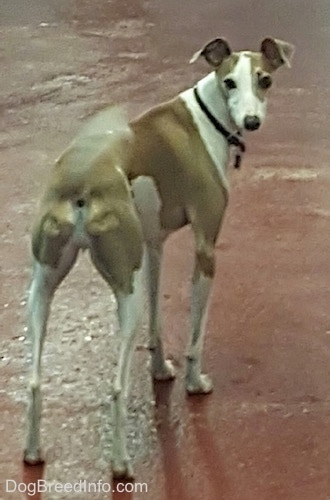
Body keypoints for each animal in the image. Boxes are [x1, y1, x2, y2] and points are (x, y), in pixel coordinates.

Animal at [24, 38, 296, 476]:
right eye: (230, 82)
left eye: (265, 79)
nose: (252, 121)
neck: (208, 116)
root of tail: (81, 183)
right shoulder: (206, 248)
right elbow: (196, 336)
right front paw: (193, 382)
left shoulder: (153, 248)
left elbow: (157, 323)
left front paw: (161, 371)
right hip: (123, 297)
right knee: (117, 388)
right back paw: (120, 463)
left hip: (45, 288)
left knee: (33, 380)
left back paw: (32, 452)